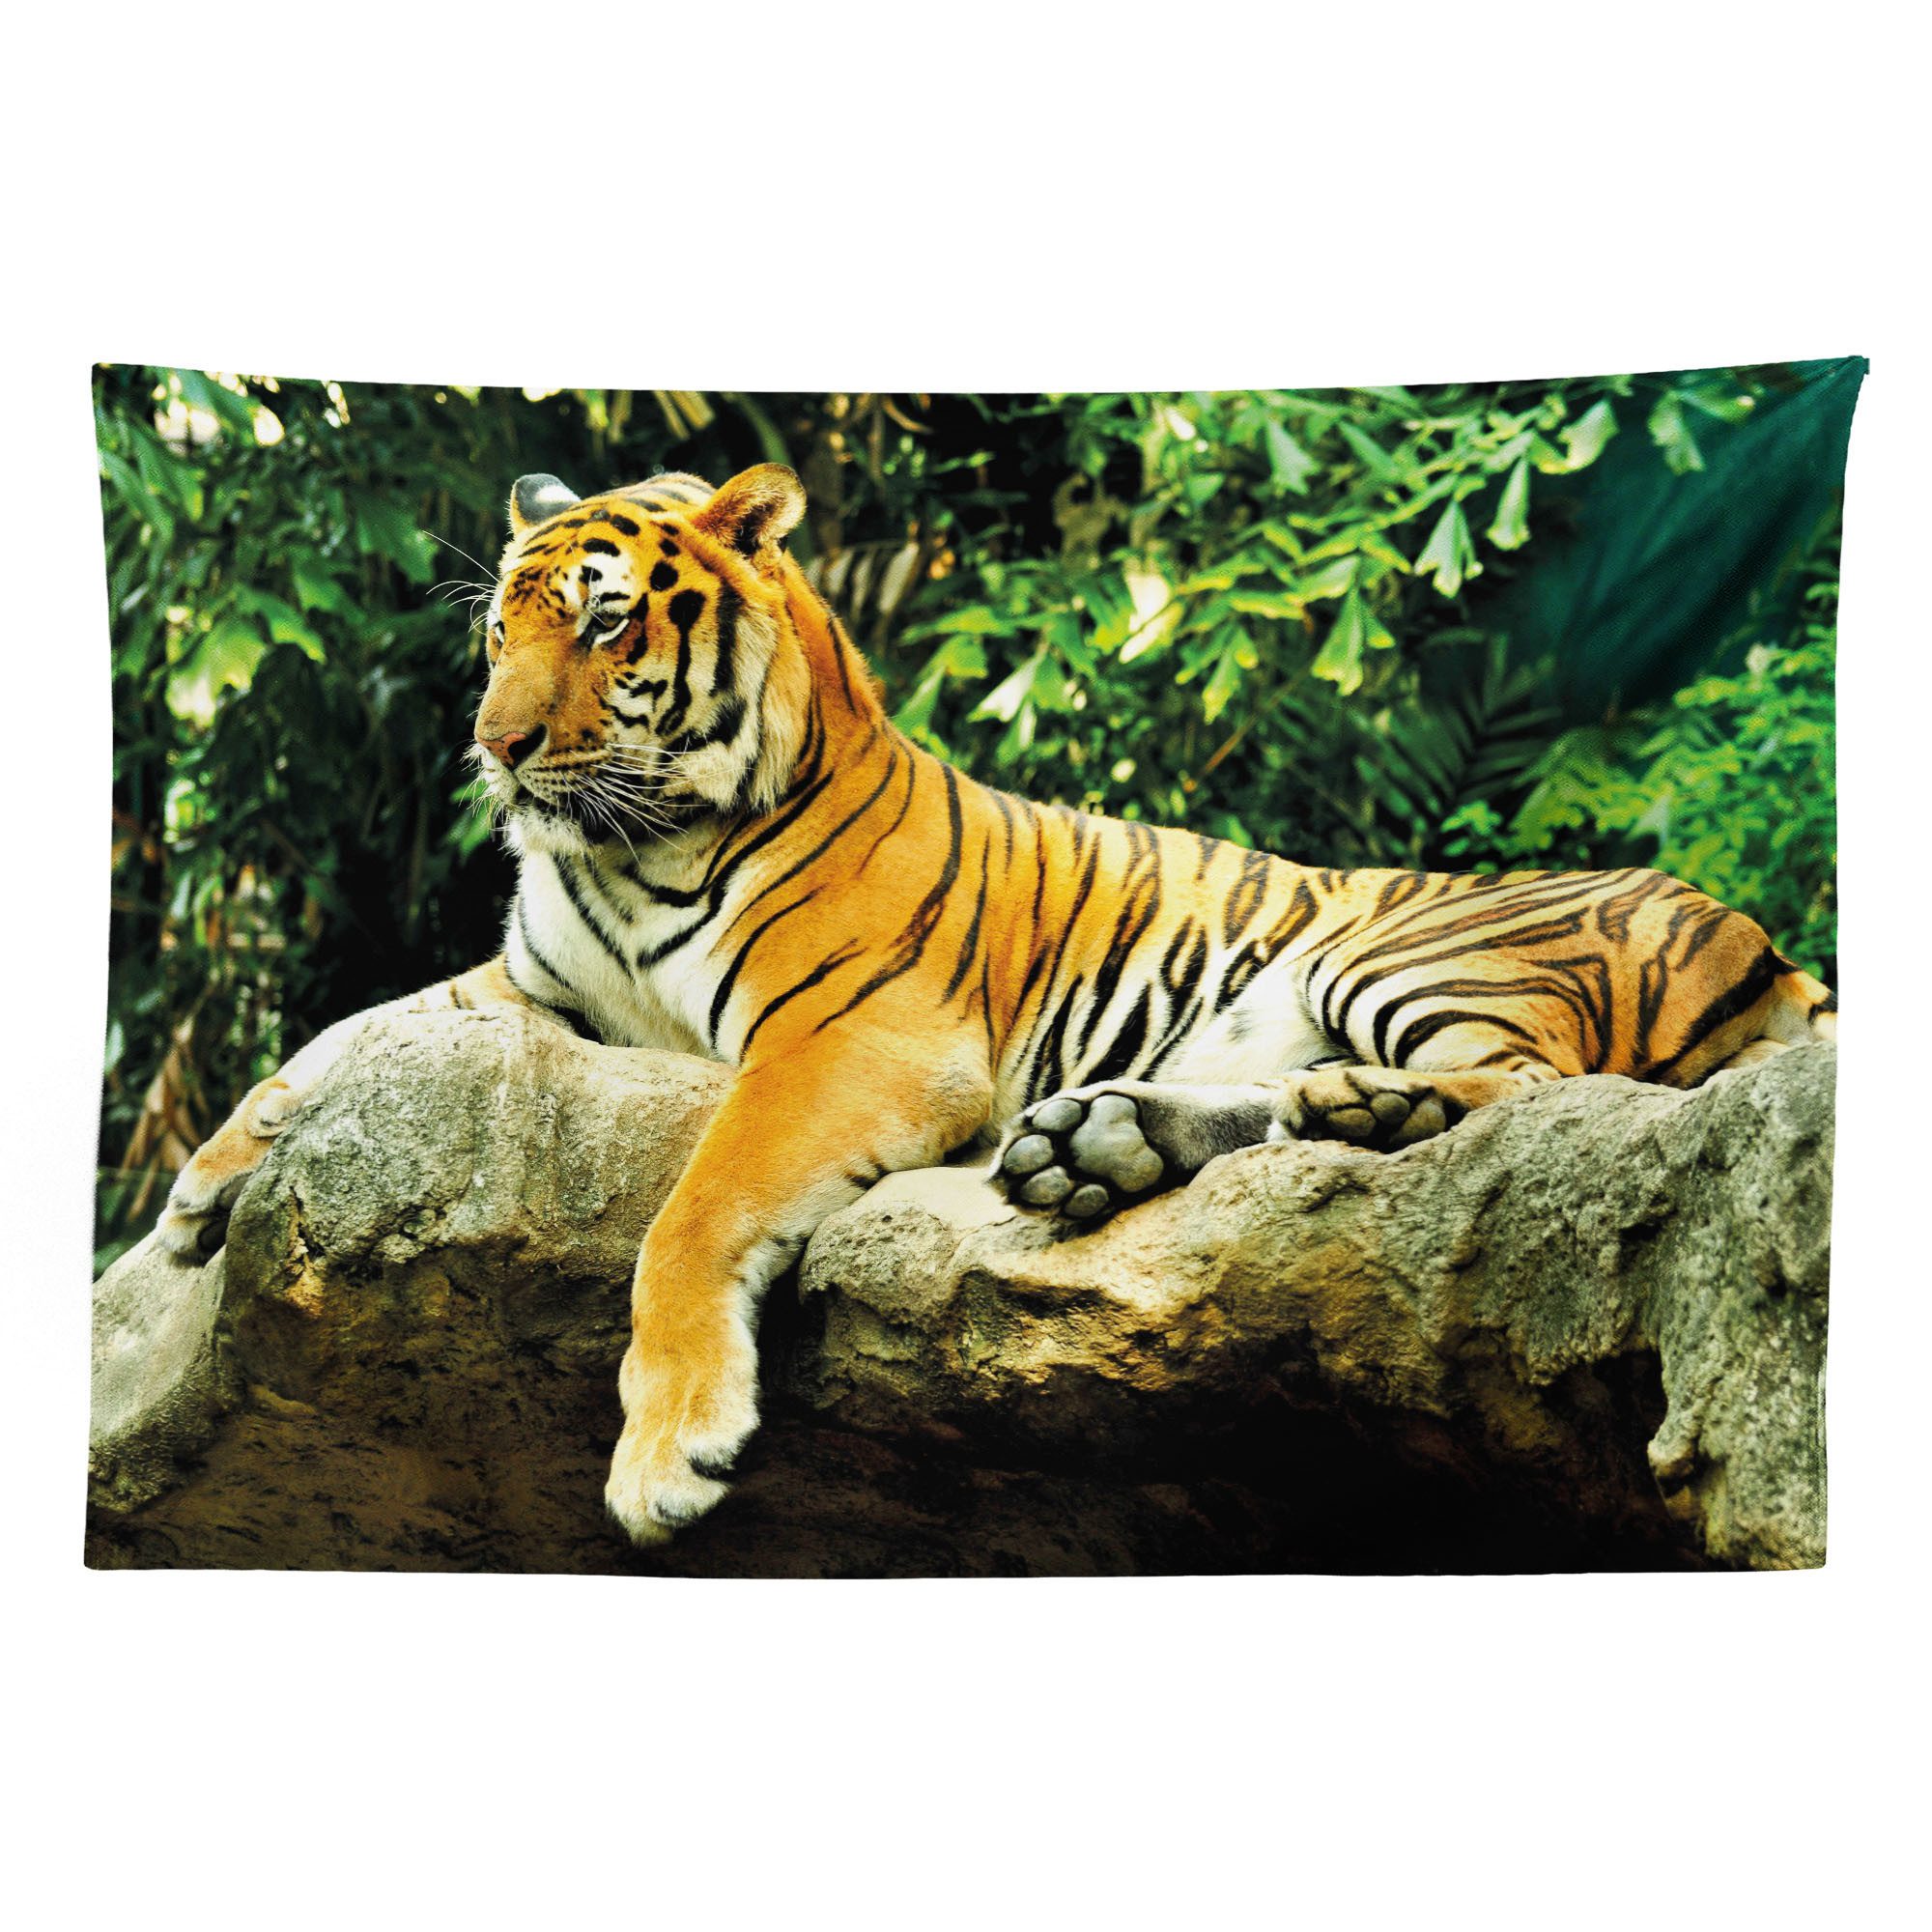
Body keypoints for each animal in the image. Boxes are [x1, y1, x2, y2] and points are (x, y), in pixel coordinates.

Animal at [156, 462, 1839, 1549]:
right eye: (499, 627)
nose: (494, 750)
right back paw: (1103, 1146)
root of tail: (1759, 936)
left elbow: (694, 1209)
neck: (631, 857)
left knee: (1542, 1091)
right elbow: (337, 1039)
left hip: (1418, 957)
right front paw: (196, 1192)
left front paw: (668, 1449)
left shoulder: (852, 1038)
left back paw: (1355, 1108)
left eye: (607, 622)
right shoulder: (522, 982)